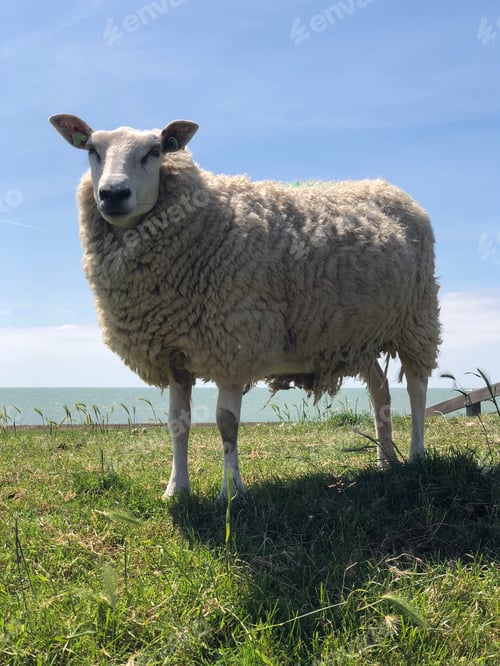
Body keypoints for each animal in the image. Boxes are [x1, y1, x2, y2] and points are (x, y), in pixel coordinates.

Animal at [49, 113, 441, 500]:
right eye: (92, 149)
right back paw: (385, 459)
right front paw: (176, 489)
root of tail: (388, 187)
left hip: (417, 317)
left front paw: (232, 490)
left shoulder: (235, 345)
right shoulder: (174, 352)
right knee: (380, 389)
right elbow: (177, 423)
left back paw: (416, 455)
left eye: (155, 150)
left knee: (417, 388)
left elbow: (227, 423)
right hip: (360, 335)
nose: (113, 194)